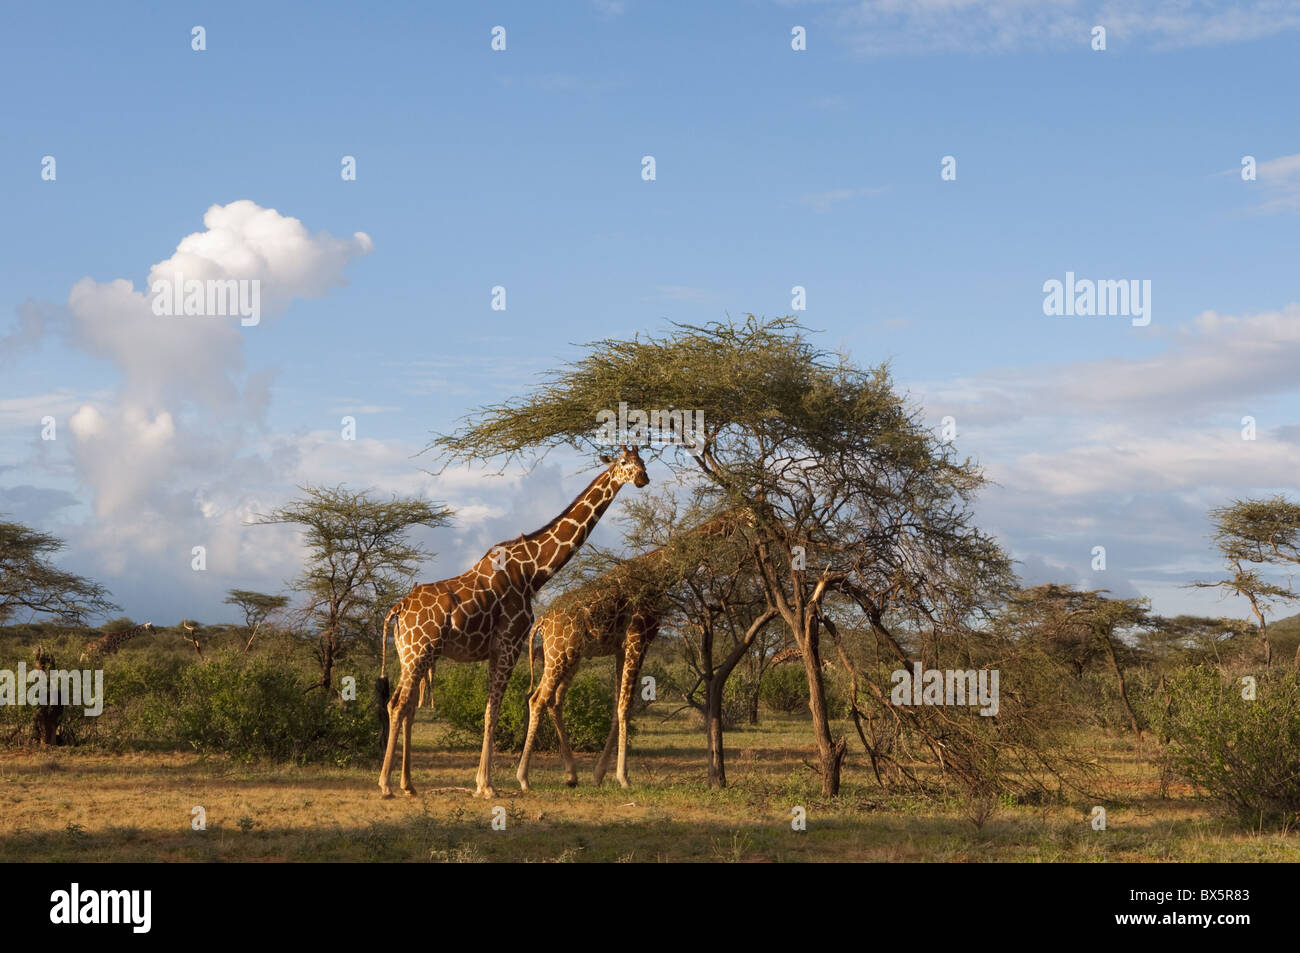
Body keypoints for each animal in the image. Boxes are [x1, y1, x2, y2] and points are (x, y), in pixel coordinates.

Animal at [379, 447, 655, 795]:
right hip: (419, 652)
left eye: (642, 461)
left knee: (405, 706)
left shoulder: (501, 648)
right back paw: (386, 784)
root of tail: (398, 608)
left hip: (410, 655)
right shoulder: (509, 643)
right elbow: (492, 712)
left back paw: (407, 784)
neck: (532, 571)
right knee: (398, 704)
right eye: (623, 463)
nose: (643, 479)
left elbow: (491, 710)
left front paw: (484, 782)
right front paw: (487, 785)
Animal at [512, 509, 748, 790]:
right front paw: (623, 777)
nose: (768, 521)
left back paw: (571, 774)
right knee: (537, 699)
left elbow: (618, 705)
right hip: (560, 654)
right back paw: (523, 778)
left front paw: (600, 773)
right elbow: (626, 705)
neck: (658, 574)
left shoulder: (620, 648)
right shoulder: (640, 637)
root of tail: (541, 623)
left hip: (569, 656)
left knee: (554, 701)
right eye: (754, 510)